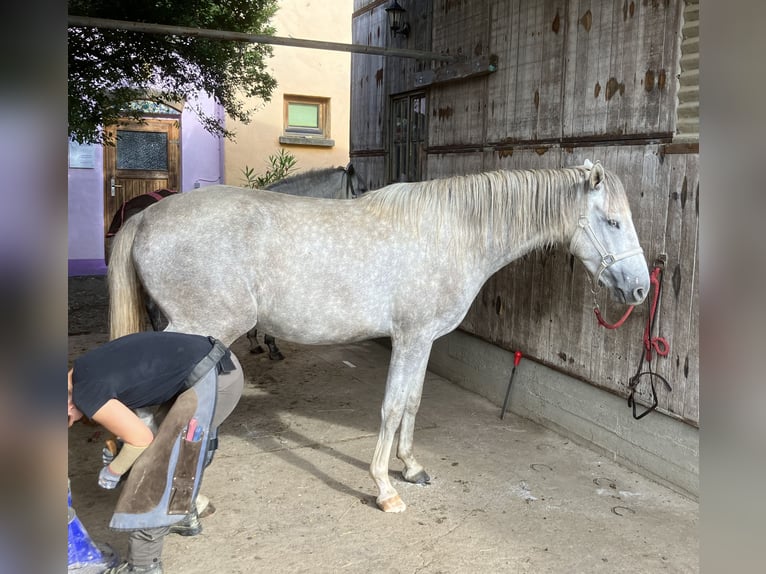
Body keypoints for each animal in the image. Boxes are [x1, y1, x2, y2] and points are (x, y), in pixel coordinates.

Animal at [106, 161, 648, 512]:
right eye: (612, 221)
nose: (640, 288)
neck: (451, 233)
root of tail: (147, 216)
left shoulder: (424, 341)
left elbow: (412, 401)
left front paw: (411, 467)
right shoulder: (410, 337)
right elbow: (390, 407)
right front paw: (385, 489)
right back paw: (182, 502)